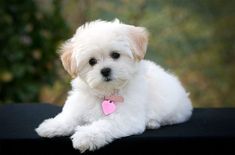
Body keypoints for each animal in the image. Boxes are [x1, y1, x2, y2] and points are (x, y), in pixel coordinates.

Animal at [35, 18, 193, 152]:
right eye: (92, 61)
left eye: (115, 55)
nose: (105, 70)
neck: (107, 93)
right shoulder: (79, 105)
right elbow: (68, 117)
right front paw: (52, 126)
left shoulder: (126, 117)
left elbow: (105, 124)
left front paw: (86, 136)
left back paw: (152, 122)